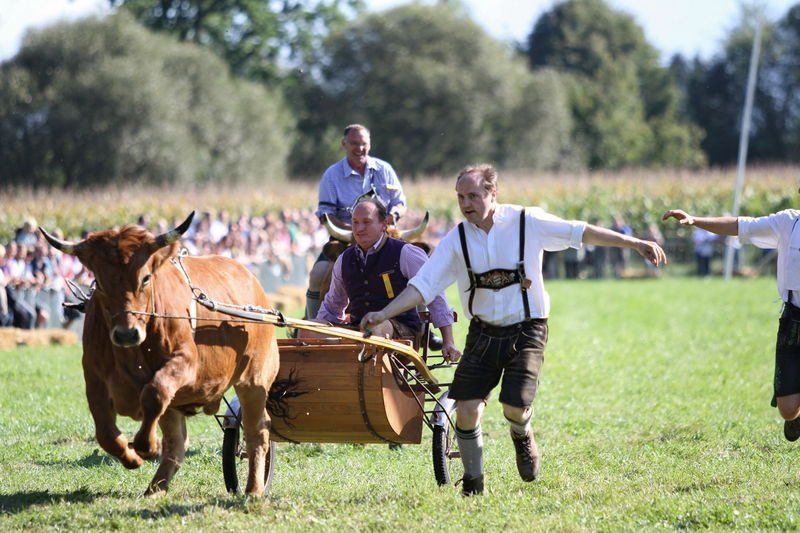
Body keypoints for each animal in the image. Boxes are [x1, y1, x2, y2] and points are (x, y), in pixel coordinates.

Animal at [41, 212, 278, 496]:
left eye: (145, 278)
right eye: (99, 281)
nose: (126, 334)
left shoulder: (185, 363)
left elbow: (154, 393)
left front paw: (148, 446)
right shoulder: (94, 378)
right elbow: (106, 433)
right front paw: (131, 457)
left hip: (254, 379)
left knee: (257, 432)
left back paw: (254, 489)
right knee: (177, 444)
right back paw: (155, 490)